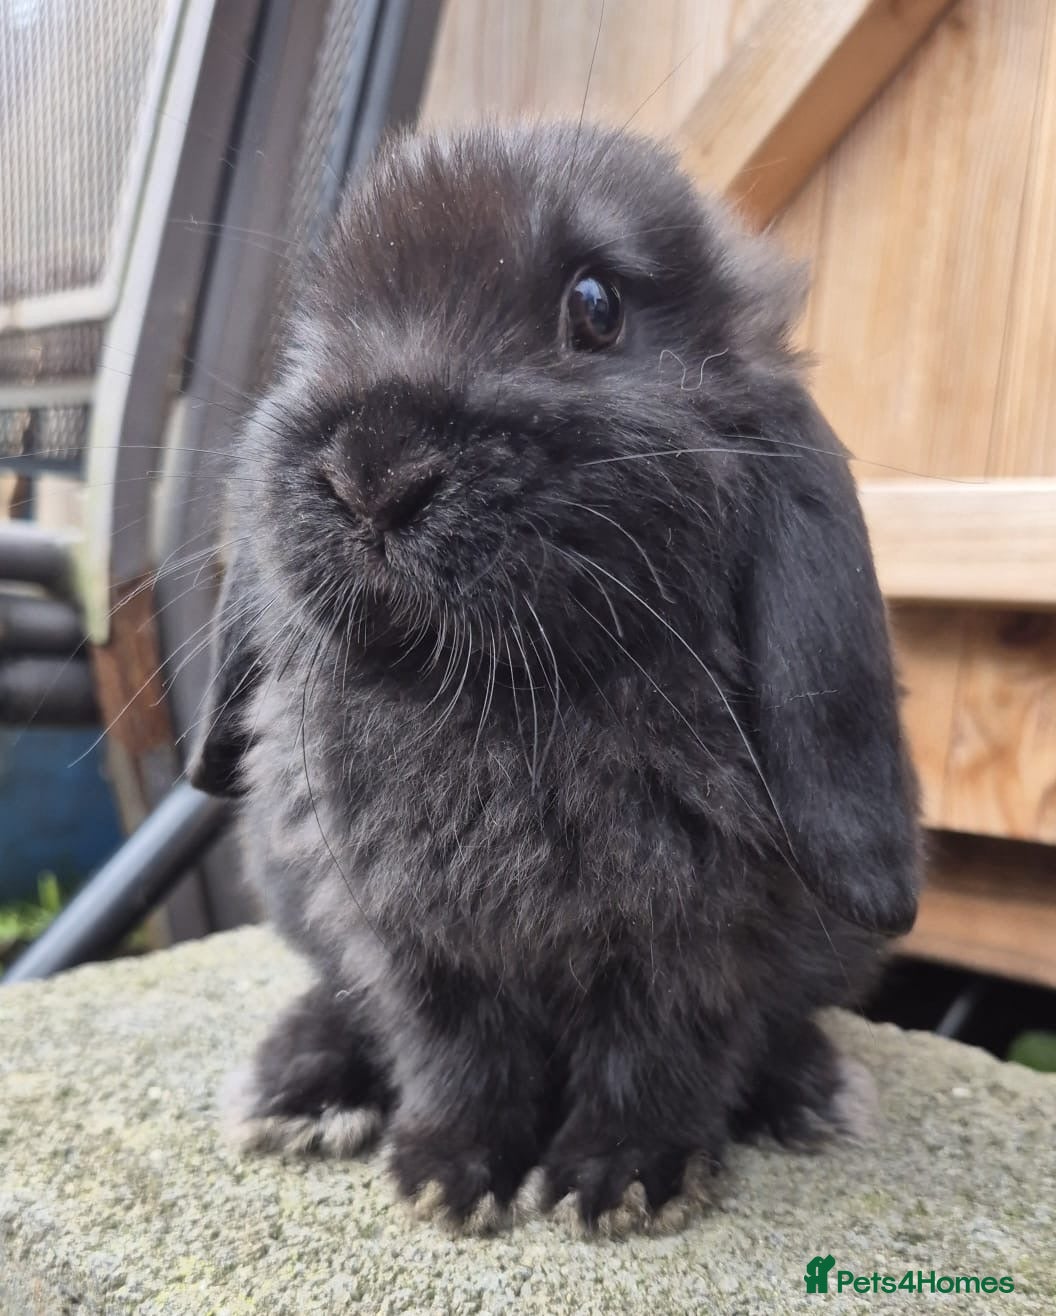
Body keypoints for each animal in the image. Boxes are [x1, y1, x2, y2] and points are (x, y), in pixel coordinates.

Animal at [190, 121, 921, 1228]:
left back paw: (808, 1091)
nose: (374, 474)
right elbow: (453, 1053)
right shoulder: (411, 940)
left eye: (596, 306)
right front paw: (445, 1174)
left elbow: (656, 1055)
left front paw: (615, 1181)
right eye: (309, 335)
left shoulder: (697, 941)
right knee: (339, 996)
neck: (498, 692)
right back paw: (297, 1089)